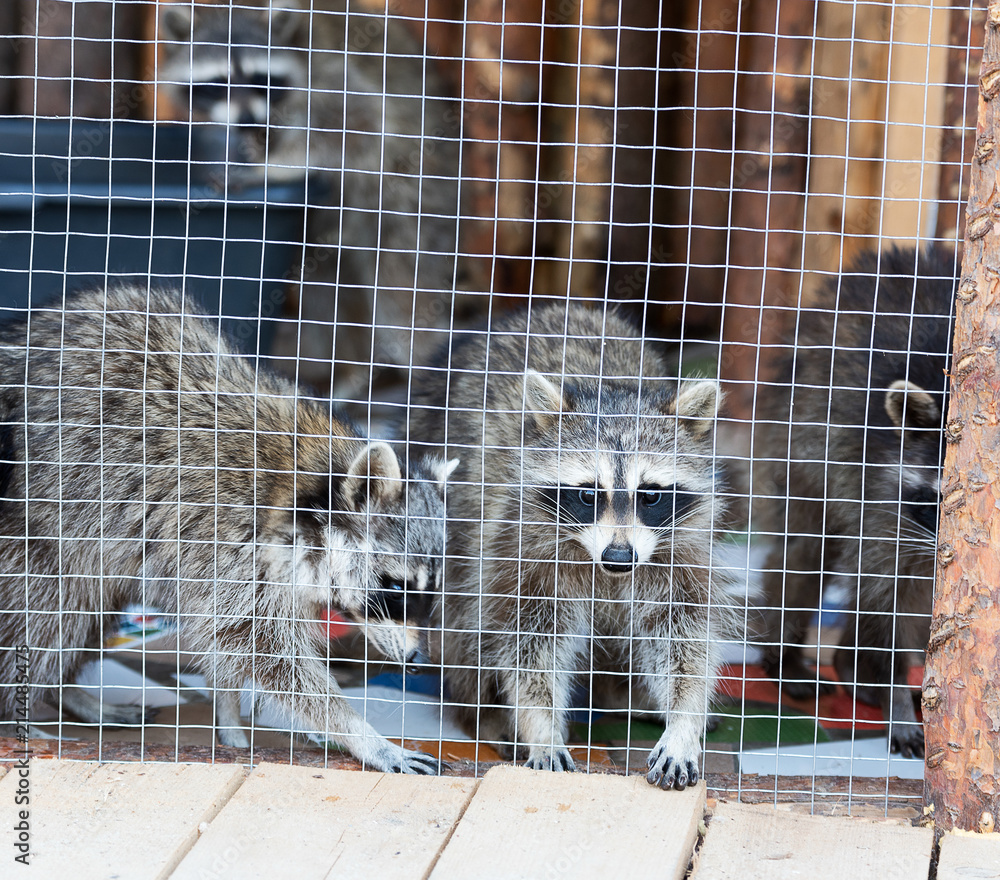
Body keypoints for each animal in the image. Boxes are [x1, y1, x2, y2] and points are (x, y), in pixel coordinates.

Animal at [0, 285, 454, 774]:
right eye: (395, 585)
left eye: (429, 589)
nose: (416, 661)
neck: (306, 489)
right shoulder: (226, 540)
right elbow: (263, 649)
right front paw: (357, 731)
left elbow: (229, 644)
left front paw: (230, 714)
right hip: (38, 531)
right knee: (49, 615)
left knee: (91, 607)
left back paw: (66, 693)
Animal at [157, 0, 468, 397]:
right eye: (218, 84)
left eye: (261, 79)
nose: (246, 119)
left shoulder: (330, 77)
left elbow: (358, 127)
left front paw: (274, 167)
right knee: (326, 290)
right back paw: (350, 371)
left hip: (417, 195)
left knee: (403, 300)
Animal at [405, 301, 738, 790]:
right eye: (587, 494)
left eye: (650, 495)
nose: (618, 557)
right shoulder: (524, 548)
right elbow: (530, 642)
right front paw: (541, 727)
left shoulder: (679, 549)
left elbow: (682, 636)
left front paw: (683, 719)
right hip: (457, 528)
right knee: (466, 617)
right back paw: (481, 712)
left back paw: (623, 694)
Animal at [753, 245, 955, 758]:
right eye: (935, 500)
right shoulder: (881, 492)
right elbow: (882, 595)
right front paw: (895, 697)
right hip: (799, 441)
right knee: (806, 553)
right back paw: (790, 657)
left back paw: (852, 668)